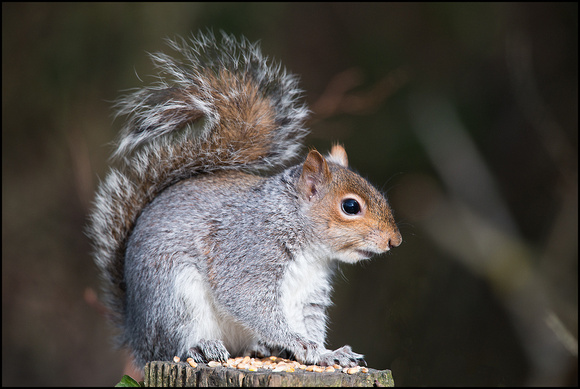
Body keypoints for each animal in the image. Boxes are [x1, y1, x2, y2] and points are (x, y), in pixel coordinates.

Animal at [87, 31, 404, 370]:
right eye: (350, 207)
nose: (395, 241)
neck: (309, 246)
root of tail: (135, 335)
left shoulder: (310, 293)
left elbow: (310, 321)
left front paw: (326, 353)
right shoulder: (247, 252)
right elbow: (247, 300)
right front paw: (300, 344)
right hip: (173, 298)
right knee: (176, 343)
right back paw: (202, 348)